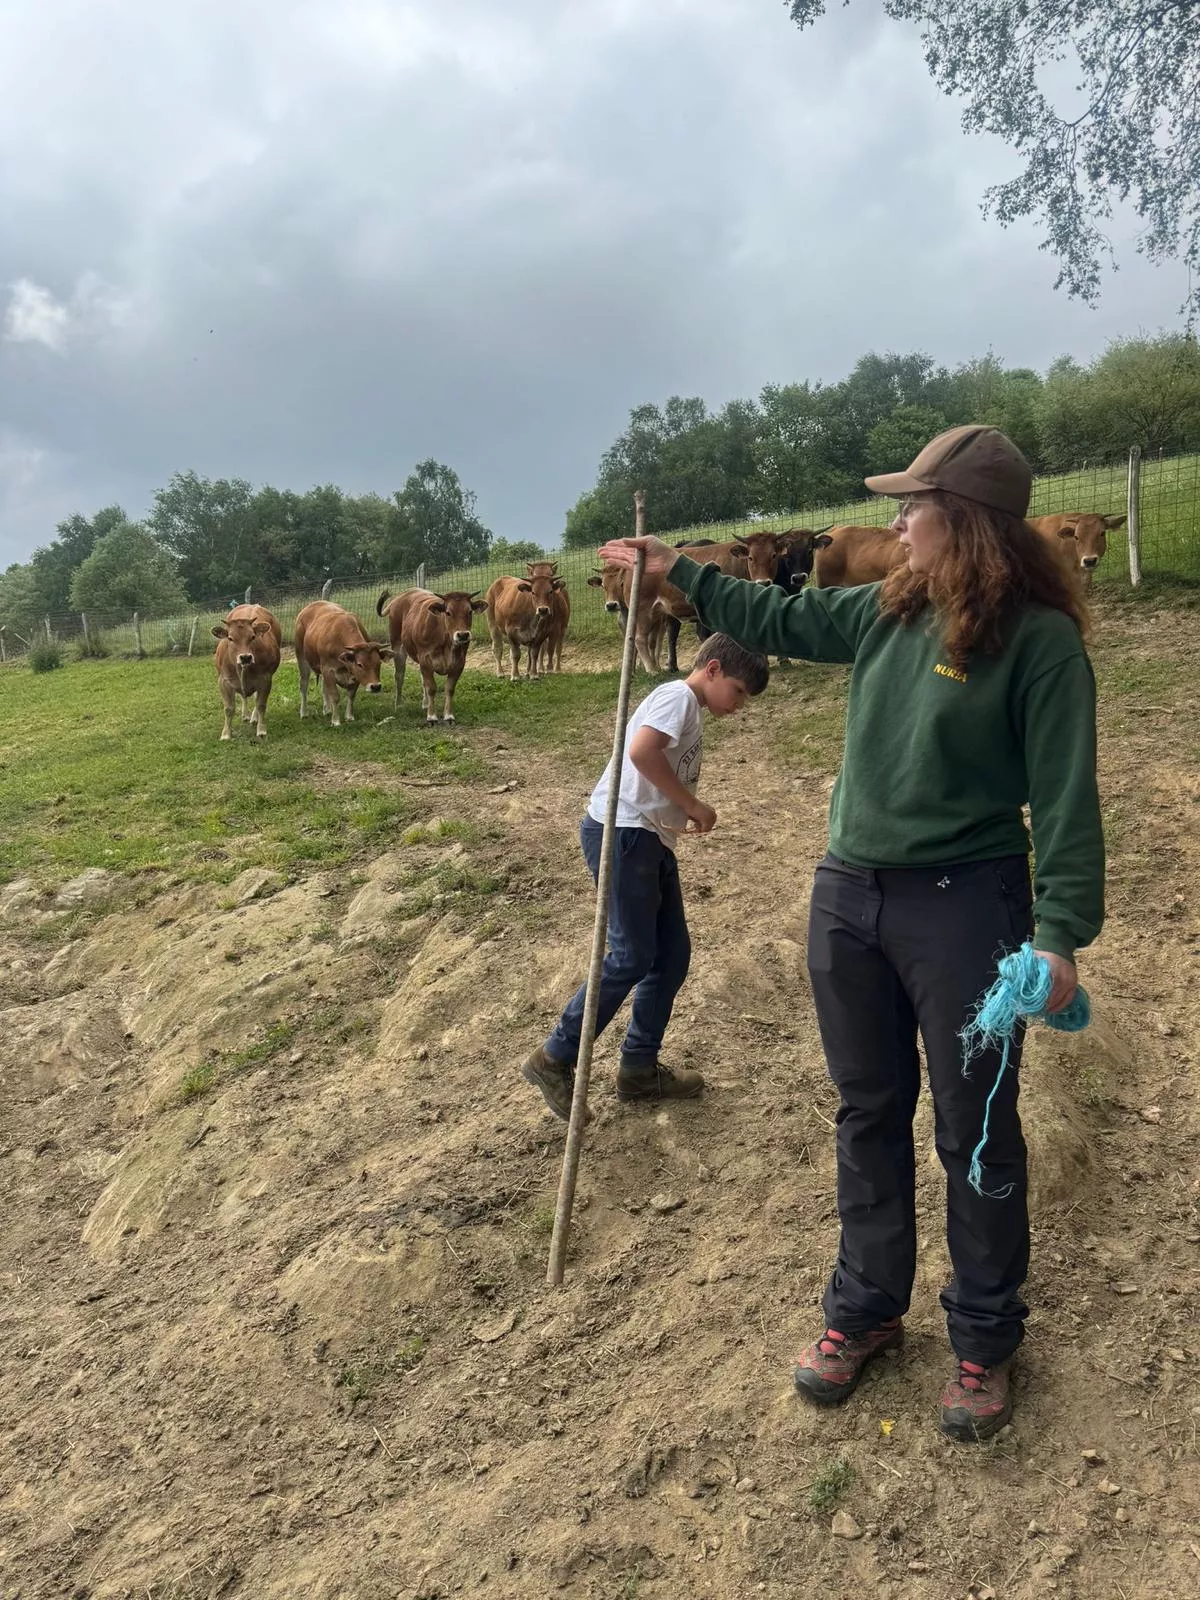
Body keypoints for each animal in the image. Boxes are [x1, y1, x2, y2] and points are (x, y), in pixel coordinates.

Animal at [212, 604, 283, 742]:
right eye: (230, 638)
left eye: (253, 637)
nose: (245, 657)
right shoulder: (223, 681)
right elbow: (228, 708)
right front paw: (226, 733)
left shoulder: (265, 679)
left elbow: (261, 704)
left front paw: (261, 730)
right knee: (243, 697)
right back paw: (245, 715)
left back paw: (254, 718)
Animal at [294, 598, 392, 729]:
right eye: (360, 664)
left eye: (379, 663)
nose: (375, 686)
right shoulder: (328, 669)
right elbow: (335, 696)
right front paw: (336, 720)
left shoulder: (353, 674)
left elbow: (351, 695)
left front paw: (349, 716)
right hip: (302, 658)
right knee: (304, 685)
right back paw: (304, 713)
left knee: (324, 687)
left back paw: (327, 709)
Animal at [376, 588, 489, 726]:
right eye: (448, 612)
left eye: (469, 611)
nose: (462, 635)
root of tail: (401, 596)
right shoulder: (425, 660)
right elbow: (431, 688)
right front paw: (431, 717)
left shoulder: (459, 663)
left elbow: (449, 689)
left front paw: (449, 715)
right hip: (397, 646)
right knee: (399, 676)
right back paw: (399, 704)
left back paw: (425, 704)